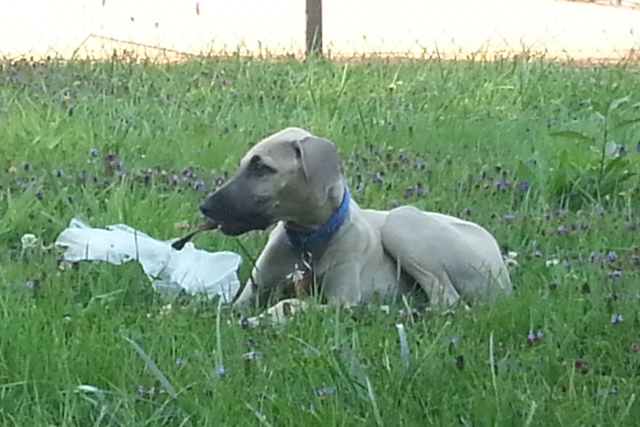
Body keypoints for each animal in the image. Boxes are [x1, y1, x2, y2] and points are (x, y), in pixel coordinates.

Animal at [199, 128, 512, 324]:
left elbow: (295, 303)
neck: (307, 243)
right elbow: (224, 306)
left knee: (447, 301)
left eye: (261, 168)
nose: (205, 207)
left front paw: (265, 318)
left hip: (402, 221)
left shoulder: (341, 301)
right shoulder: (247, 296)